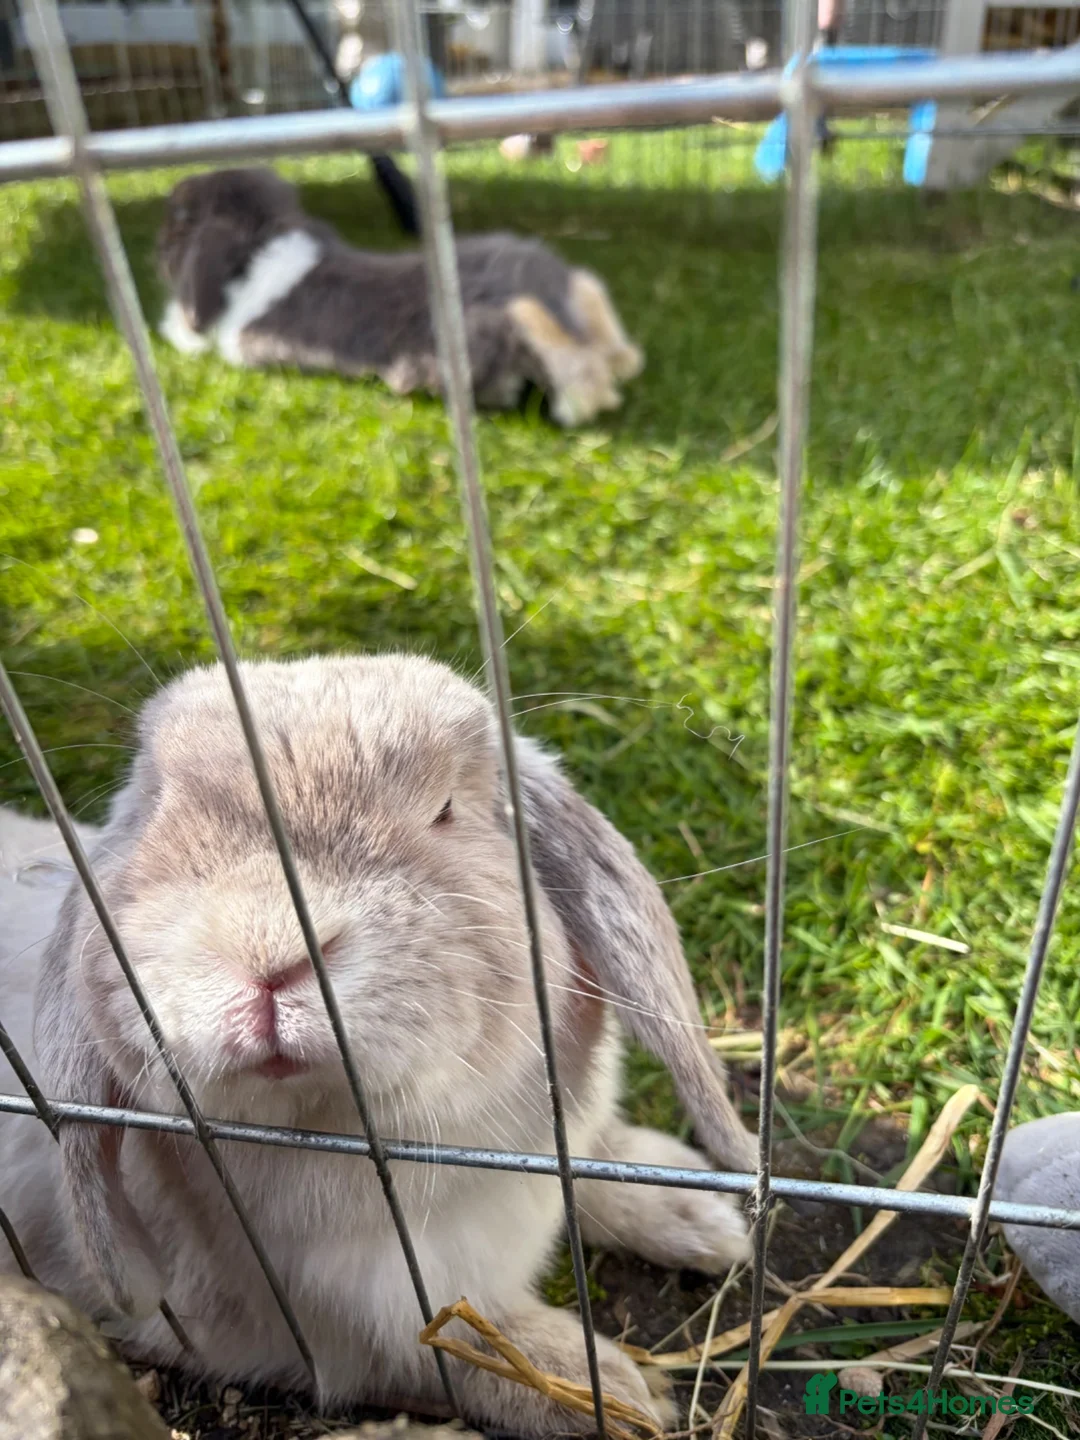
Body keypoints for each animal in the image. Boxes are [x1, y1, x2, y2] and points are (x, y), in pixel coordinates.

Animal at [0, 655, 754, 1436]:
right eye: (153, 815)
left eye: (447, 808)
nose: (266, 951)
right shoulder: (350, 1329)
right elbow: (465, 1344)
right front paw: (614, 1389)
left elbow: (599, 1166)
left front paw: (702, 1216)